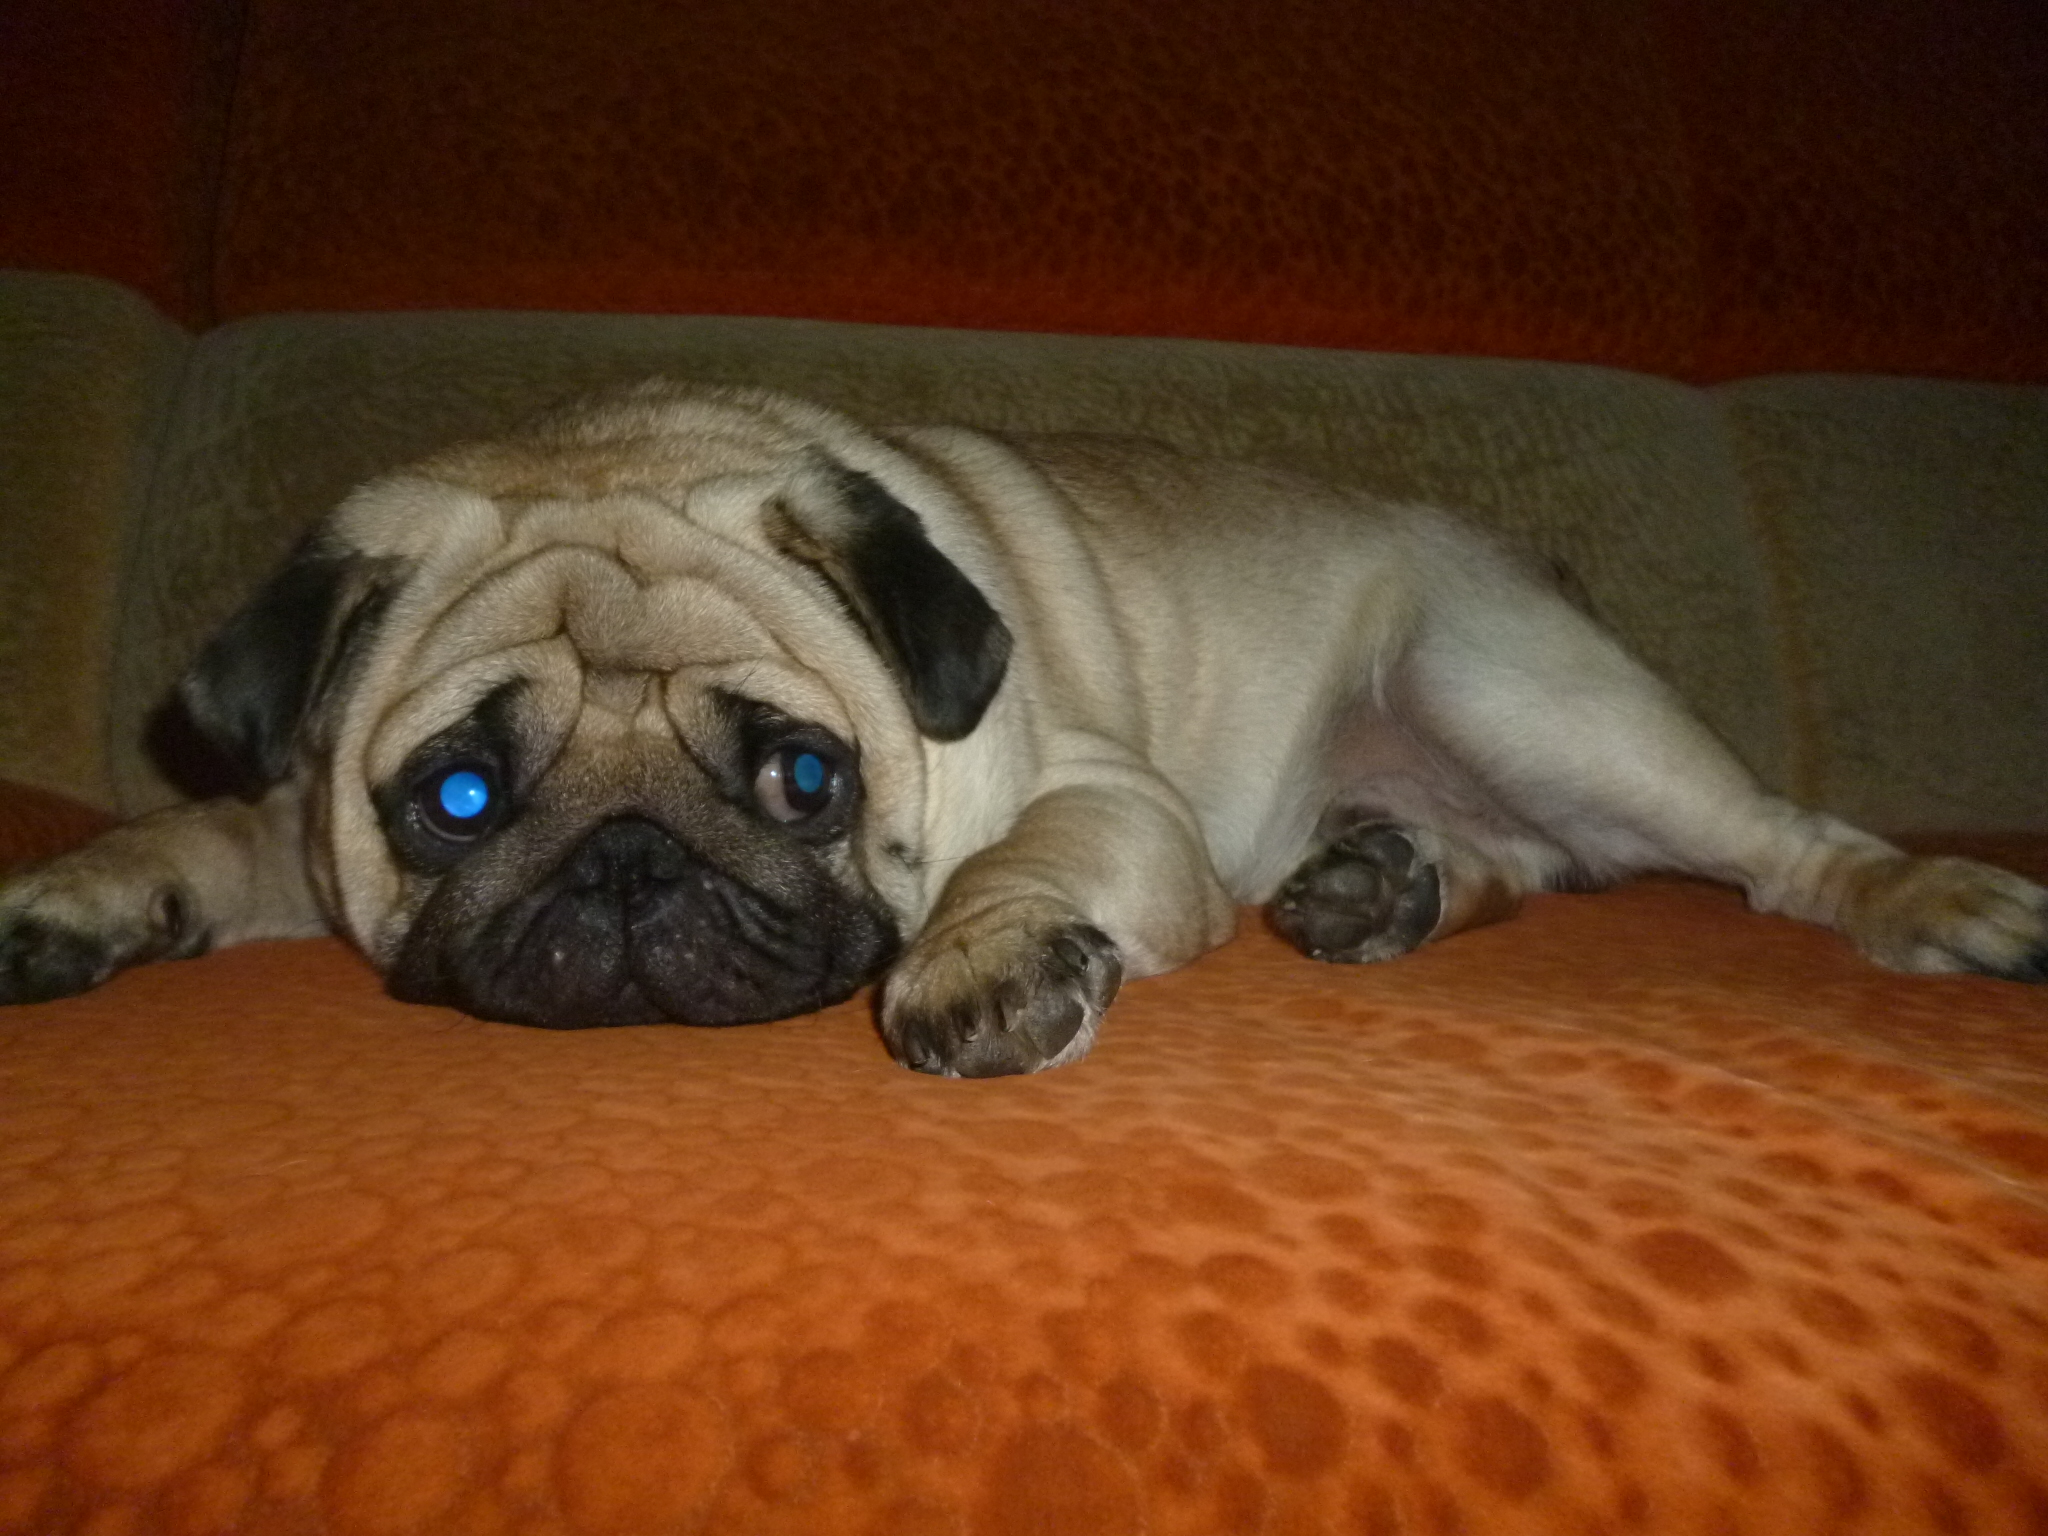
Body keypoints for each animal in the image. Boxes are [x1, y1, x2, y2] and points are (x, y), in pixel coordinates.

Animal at [1, 382, 2042, 1074]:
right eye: (455, 793)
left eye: (804, 778)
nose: (629, 862)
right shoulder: (298, 816)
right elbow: (197, 831)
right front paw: (86, 900)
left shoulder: (1102, 798)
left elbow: (1023, 853)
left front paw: (984, 963)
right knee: (1518, 865)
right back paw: (1381, 883)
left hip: (1521, 687)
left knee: (1774, 849)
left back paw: (1933, 903)